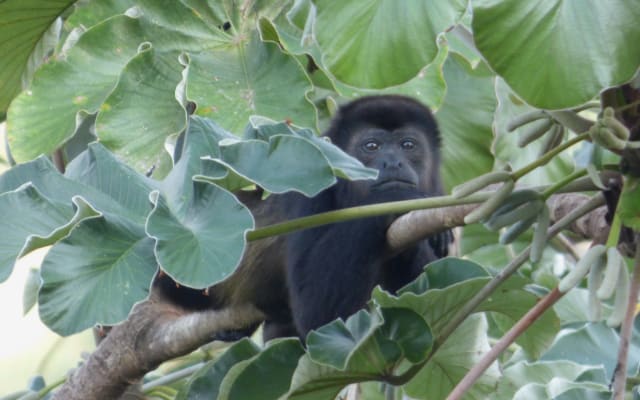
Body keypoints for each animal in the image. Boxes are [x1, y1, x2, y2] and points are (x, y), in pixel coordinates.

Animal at [156, 94, 450, 340]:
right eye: (372, 146)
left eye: (408, 145)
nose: (392, 163)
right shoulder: (311, 185)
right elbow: (317, 312)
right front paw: (399, 198)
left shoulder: (438, 191)